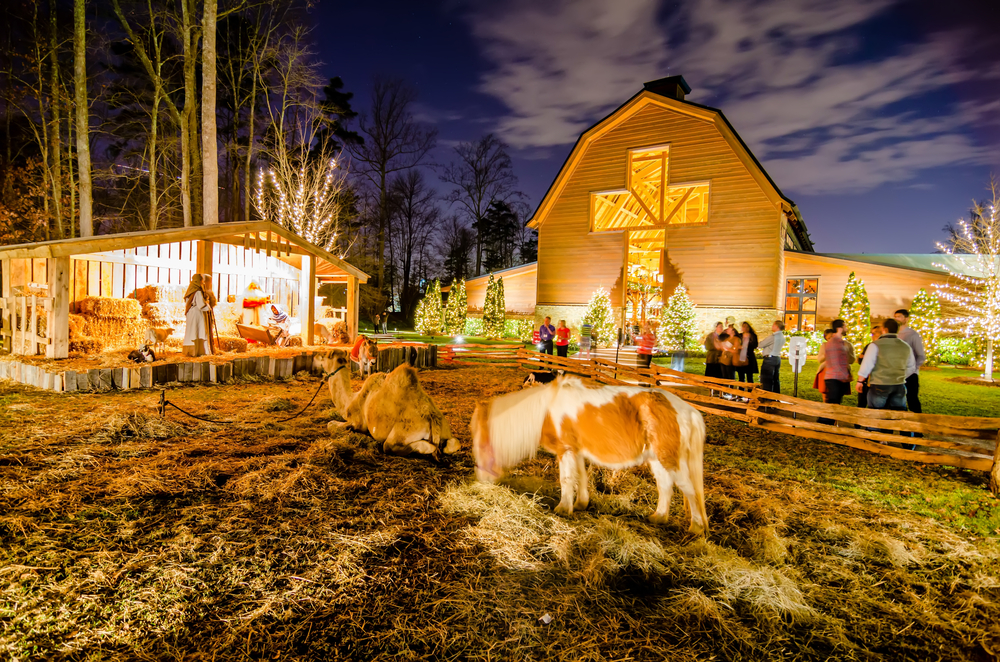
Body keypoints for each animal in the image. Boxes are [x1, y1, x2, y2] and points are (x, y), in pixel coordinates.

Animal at [312, 352, 460, 462]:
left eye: (323, 356)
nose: (315, 356)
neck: (350, 400)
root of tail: (433, 419)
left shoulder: (357, 423)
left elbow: (330, 424)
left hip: (399, 436)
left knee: (391, 446)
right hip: (446, 431)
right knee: (453, 444)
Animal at [472, 376, 708, 536]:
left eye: (482, 445)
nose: (482, 480)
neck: (545, 411)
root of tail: (688, 410)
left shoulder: (566, 450)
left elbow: (567, 479)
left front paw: (563, 508)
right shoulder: (576, 451)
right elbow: (581, 478)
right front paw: (580, 504)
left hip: (670, 460)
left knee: (690, 490)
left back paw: (696, 527)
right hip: (657, 460)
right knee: (665, 486)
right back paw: (658, 517)